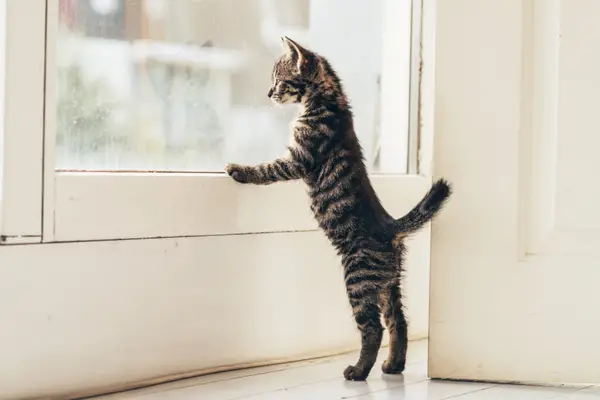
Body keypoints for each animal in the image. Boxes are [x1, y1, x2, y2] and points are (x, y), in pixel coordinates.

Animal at [225, 37, 450, 382]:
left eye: (278, 78)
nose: (268, 93)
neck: (330, 100)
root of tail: (390, 227)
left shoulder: (298, 158)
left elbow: (267, 169)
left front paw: (240, 170)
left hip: (357, 279)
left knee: (373, 329)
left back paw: (358, 370)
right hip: (388, 285)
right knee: (399, 322)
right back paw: (393, 365)